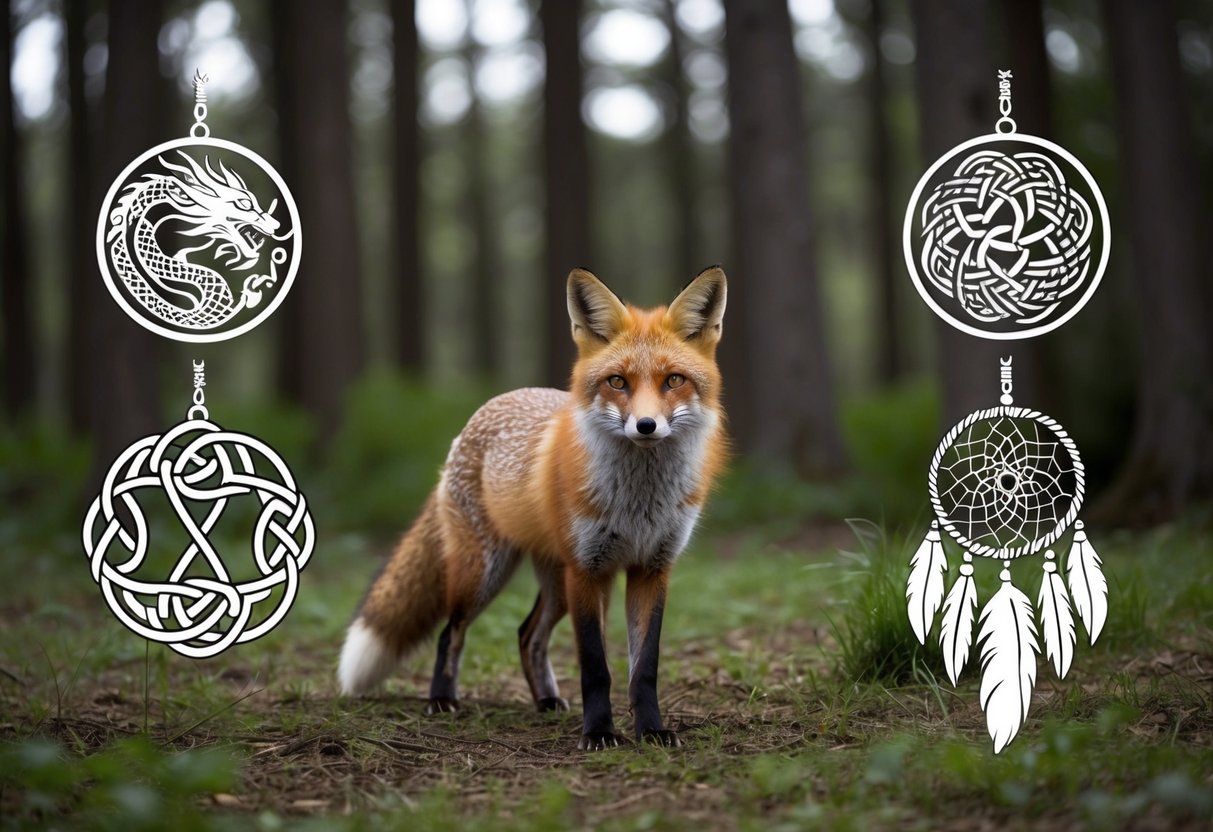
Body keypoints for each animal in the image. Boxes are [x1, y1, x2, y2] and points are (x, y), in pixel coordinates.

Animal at [337, 266, 728, 750]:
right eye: (617, 381)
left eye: (673, 380)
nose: (646, 425)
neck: (639, 501)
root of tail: (486, 408)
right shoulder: (587, 570)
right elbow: (595, 667)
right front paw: (599, 733)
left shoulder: (651, 569)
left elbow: (644, 668)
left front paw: (651, 730)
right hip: (486, 574)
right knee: (451, 632)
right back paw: (442, 699)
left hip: (557, 584)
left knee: (527, 635)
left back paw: (545, 700)